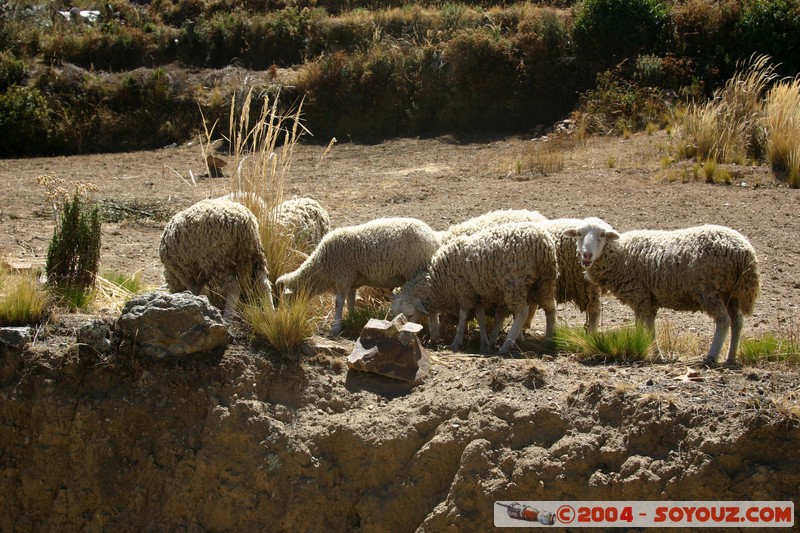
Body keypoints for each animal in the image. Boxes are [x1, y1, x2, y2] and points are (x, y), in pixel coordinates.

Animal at [274, 217, 438, 334]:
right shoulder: (352, 283)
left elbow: (338, 303)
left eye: (288, 299)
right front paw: (351, 318)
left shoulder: (343, 277)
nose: (284, 318)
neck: (321, 267)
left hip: (415, 270)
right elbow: (350, 302)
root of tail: (432, 238)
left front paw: (336, 327)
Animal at [392, 220, 556, 354]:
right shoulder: (477, 293)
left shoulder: (464, 291)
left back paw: (506, 346)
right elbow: (481, 317)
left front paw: (456, 342)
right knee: (550, 309)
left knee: (522, 312)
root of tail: (543, 243)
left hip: (514, 283)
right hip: (544, 282)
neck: (437, 279)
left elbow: (463, 316)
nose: (402, 337)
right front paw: (484, 344)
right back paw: (549, 341)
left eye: (410, 315)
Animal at [564, 215, 764, 362]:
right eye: (579, 234)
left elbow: (647, 327)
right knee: (737, 321)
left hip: (709, 290)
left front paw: (652, 352)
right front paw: (642, 346)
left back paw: (712, 356)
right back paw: (731, 357)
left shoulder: (639, 294)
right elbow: (643, 324)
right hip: (731, 292)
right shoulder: (645, 298)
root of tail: (745, 252)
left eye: (602, 235)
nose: (586, 255)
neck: (621, 255)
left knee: (723, 320)